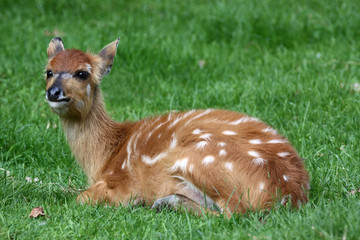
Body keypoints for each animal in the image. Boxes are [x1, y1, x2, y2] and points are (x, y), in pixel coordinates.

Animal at [45, 37, 310, 218]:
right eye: (48, 71)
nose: (53, 92)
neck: (105, 156)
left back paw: (166, 202)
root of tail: (290, 193)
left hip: (200, 159)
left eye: (82, 73)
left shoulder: (122, 184)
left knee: (235, 212)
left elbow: (82, 198)